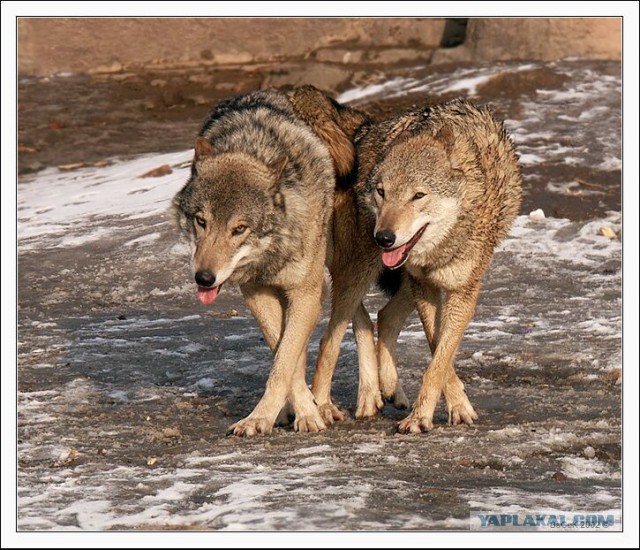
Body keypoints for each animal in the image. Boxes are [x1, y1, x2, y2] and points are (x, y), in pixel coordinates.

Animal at [172, 89, 352, 436]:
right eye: (201, 221)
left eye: (239, 229)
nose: (204, 278)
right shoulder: (256, 292)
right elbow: (284, 356)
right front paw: (293, 411)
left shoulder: (306, 294)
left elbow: (283, 363)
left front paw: (291, 414)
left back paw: (326, 405)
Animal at [297, 97, 523, 433]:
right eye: (382, 192)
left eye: (418, 195)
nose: (384, 238)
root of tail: (363, 130)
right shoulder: (424, 286)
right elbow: (436, 348)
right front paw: (431, 412)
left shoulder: (460, 291)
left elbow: (439, 358)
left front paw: (444, 409)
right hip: (360, 271)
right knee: (330, 339)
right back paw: (324, 406)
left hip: (398, 282)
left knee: (383, 316)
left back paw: (385, 390)